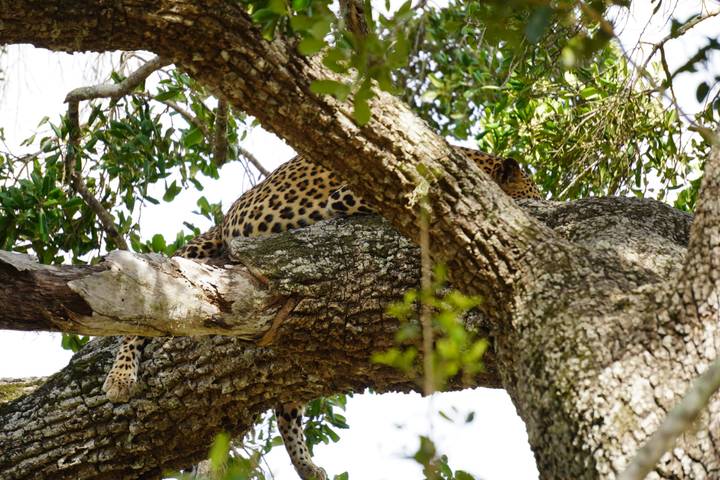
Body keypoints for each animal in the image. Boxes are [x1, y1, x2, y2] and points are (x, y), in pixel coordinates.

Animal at [102, 146, 541, 480]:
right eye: (534, 192)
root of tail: (224, 219)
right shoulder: (354, 192)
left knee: (287, 407)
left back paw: (307, 466)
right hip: (192, 256)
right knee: (143, 311)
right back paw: (120, 377)